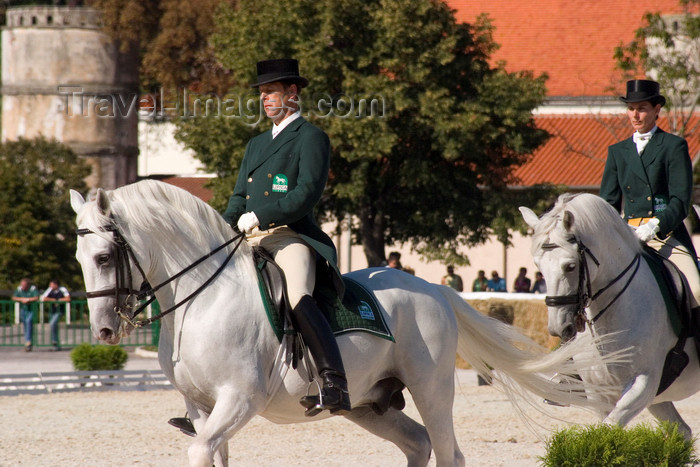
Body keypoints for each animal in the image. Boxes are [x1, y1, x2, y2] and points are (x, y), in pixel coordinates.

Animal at [71, 180, 616, 467]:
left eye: (103, 256)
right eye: (79, 258)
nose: (104, 332)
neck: (202, 298)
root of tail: (432, 288)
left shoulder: (239, 400)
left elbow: (203, 451)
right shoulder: (200, 407)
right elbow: (212, 453)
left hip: (432, 387)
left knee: (447, 451)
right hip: (370, 403)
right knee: (418, 444)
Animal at [520, 193, 700, 438]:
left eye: (570, 266)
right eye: (538, 266)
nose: (559, 329)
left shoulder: (644, 383)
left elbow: (609, 428)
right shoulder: (598, 392)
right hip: (658, 401)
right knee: (682, 431)